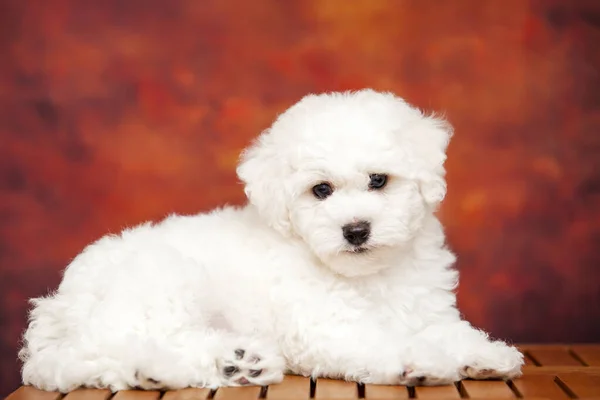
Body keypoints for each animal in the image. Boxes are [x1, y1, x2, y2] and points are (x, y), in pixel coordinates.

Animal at [18, 89, 524, 392]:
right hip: (161, 281)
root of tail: (56, 309)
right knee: (129, 350)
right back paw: (222, 363)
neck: (369, 277)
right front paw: (420, 360)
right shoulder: (323, 325)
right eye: (321, 190)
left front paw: (486, 354)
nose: (355, 229)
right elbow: (379, 340)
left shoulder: (426, 308)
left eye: (379, 180)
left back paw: (242, 363)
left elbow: (448, 330)